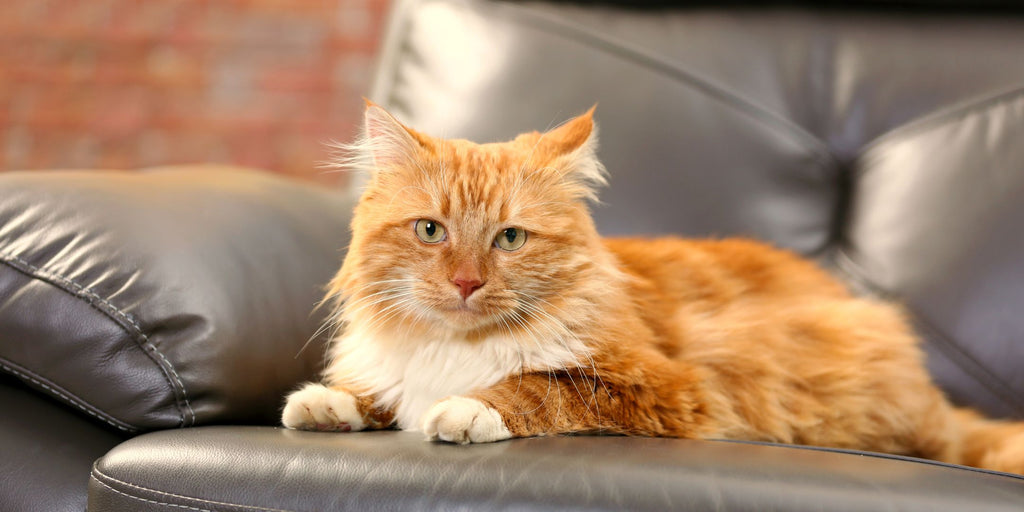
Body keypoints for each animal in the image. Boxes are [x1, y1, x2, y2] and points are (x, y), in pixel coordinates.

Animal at [284, 99, 1024, 475]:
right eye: (430, 231)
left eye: (511, 239)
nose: (466, 283)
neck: (456, 347)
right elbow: (372, 392)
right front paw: (329, 402)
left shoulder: (664, 386)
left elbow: (537, 385)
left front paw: (466, 409)